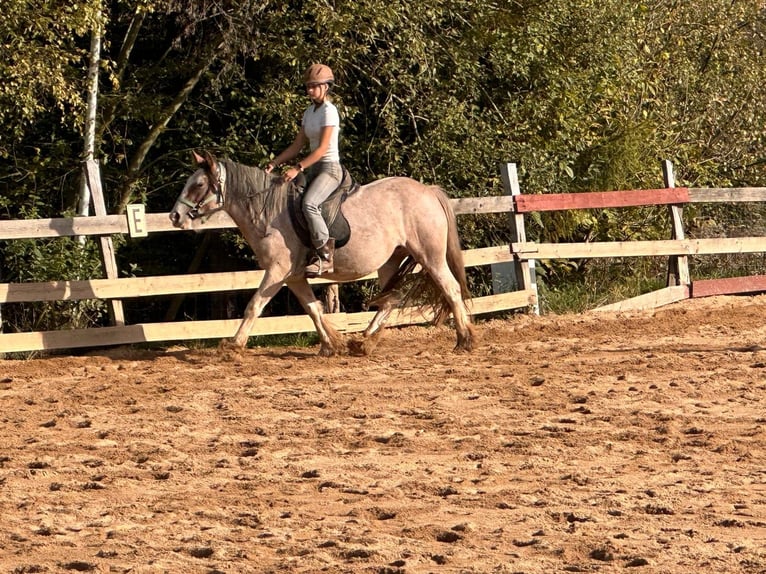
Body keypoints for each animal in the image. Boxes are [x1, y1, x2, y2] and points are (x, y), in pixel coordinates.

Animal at [171, 151, 476, 358]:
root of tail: (428, 191)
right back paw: (363, 341)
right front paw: (332, 344)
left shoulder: (277, 271)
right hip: (390, 261)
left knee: (450, 289)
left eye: (198, 185)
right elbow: (313, 308)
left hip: (430, 256)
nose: (175, 216)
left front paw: (233, 345)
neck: (269, 211)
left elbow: (254, 305)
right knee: (391, 299)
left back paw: (464, 340)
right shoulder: (292, 276)